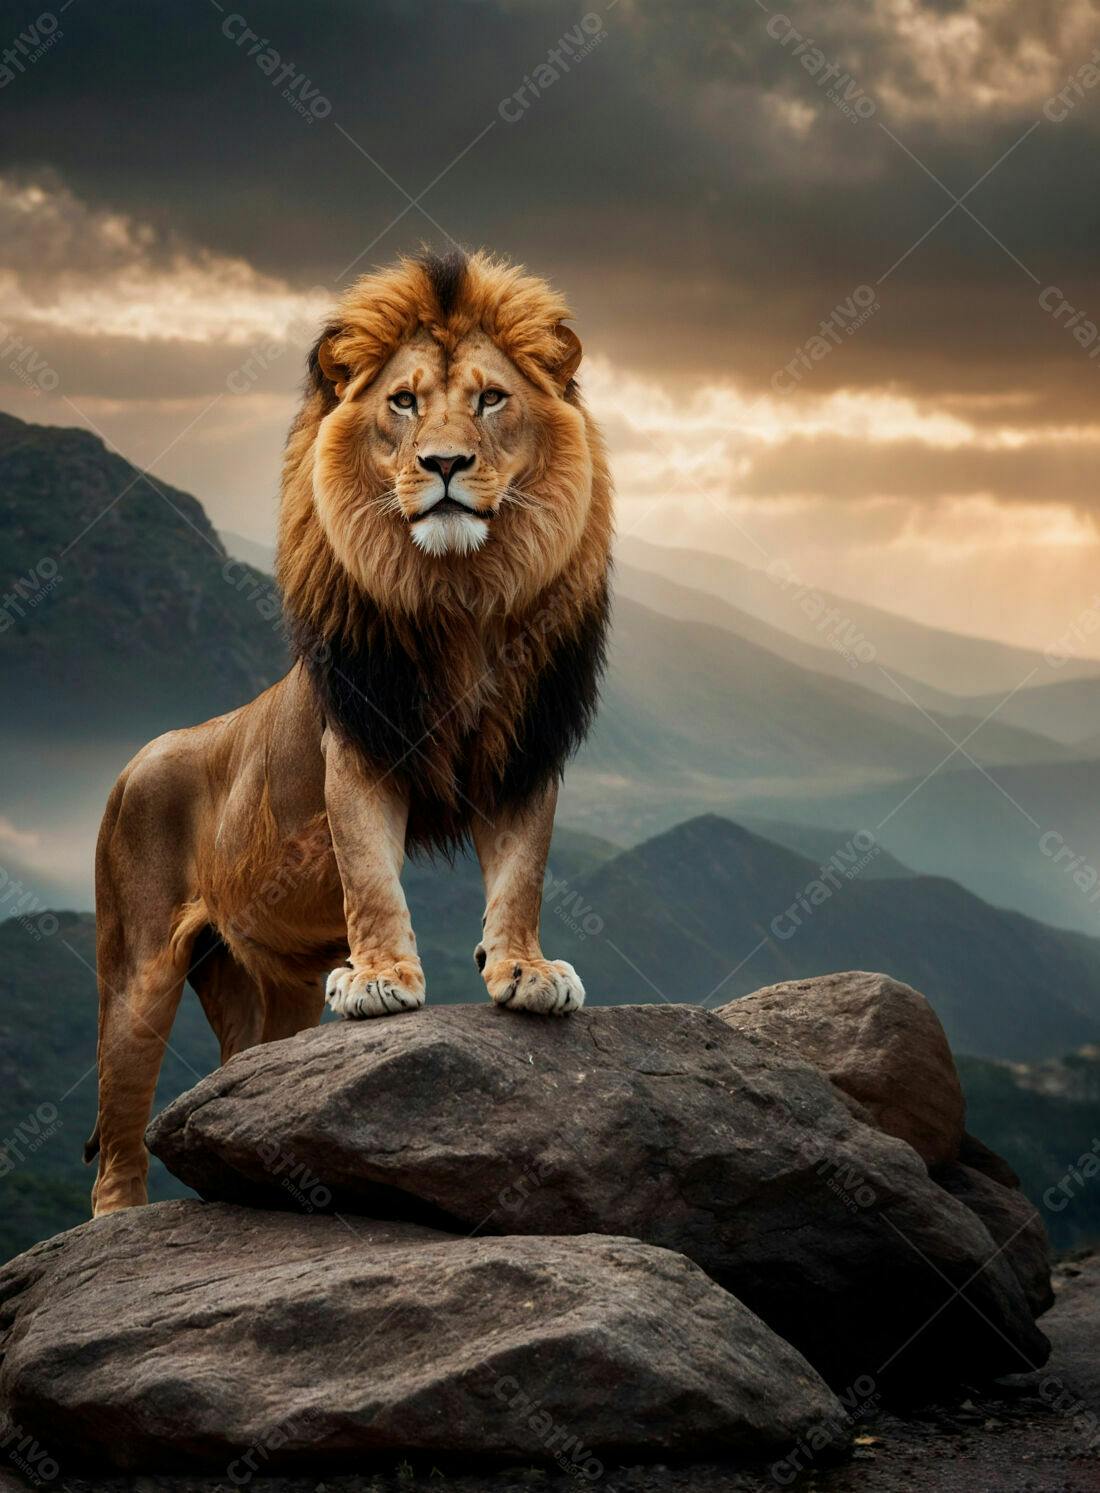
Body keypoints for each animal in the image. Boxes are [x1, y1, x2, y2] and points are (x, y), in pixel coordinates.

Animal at [86, 249, 613, 1215]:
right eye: (403, 402)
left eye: (491, 399)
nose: (445, 463)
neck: (459, 600)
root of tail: (134, 758)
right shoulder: (359, 751)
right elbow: (370, 870)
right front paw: (379, 981)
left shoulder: (522, 753)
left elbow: (521, 872)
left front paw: (524, 969)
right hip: (134, 970)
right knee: (118, 1131)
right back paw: (119, 1223)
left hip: (261, 983)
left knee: (238, 1080)